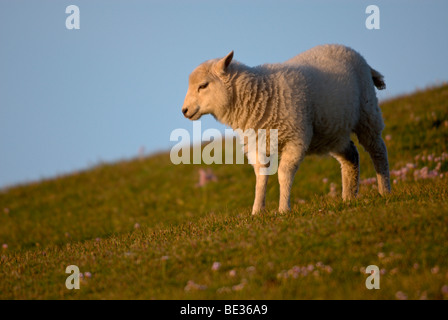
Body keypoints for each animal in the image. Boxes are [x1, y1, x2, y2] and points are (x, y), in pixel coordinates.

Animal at [180, 44, 390, 215]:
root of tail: (350, 50)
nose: (184, 111)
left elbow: (284, 174)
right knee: (351, 156)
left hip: (367, 112)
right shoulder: (257, 145)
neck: (261, 94)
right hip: (332, 131)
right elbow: (261, 178)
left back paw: (385, 191)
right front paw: (257, 212)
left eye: (203, 85)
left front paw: (283, 210)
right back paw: (348, 198)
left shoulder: (296, 139)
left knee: (377, 150)